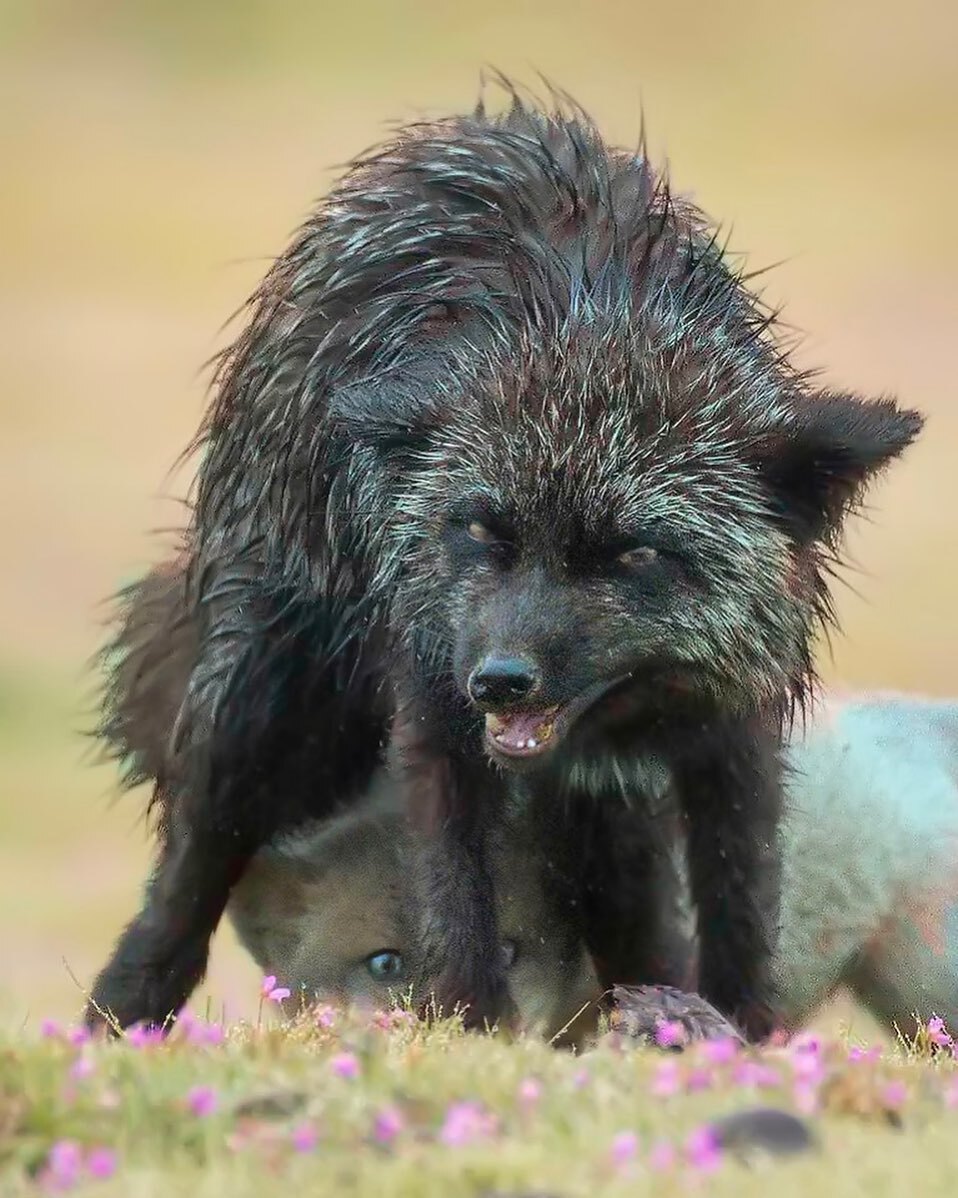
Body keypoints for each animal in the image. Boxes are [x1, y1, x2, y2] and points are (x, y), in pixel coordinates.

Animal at [86, 82, 924, 1039]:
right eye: (485, 533)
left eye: (636, 552)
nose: (501, 680)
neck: (598, 312)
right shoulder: (434, 700)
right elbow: (456, 898)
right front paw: (474, 1034)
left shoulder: (732, 729)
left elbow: (740, 908)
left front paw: (738, 1037)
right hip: (260, 706)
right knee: (185, 890)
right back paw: (114, 1024)